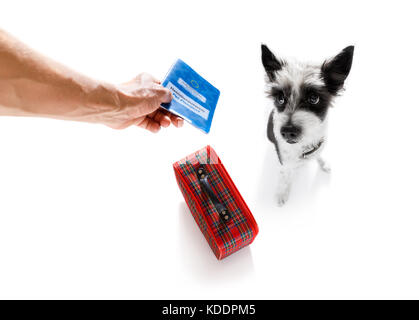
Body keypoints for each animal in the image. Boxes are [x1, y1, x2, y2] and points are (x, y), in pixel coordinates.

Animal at [262, 44, 354, 205]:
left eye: (313, 98)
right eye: (280, 98)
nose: (288, 131)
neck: (303, 147)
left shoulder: (319, 146)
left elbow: (319, 155)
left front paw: (323, 163)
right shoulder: (285, 163)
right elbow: (285, 175)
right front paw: (282, 192)